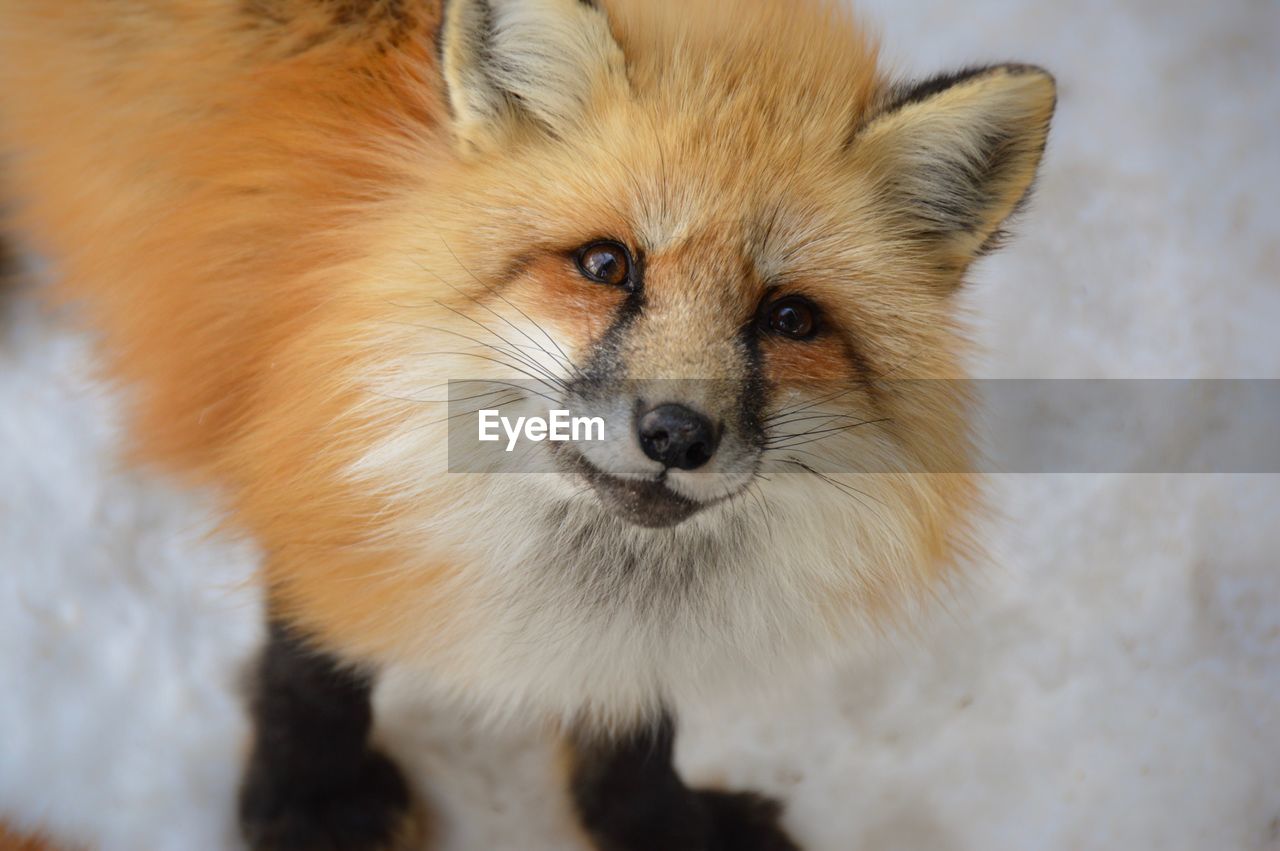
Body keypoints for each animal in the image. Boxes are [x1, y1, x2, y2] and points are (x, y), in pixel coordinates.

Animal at [0, 0, 1049, 844]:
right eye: (606, 264)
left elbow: (634, 723)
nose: (677, 435)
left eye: (790, 317)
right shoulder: (304, 432)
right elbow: (313, 650)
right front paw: (312, 803)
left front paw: (654, 828)